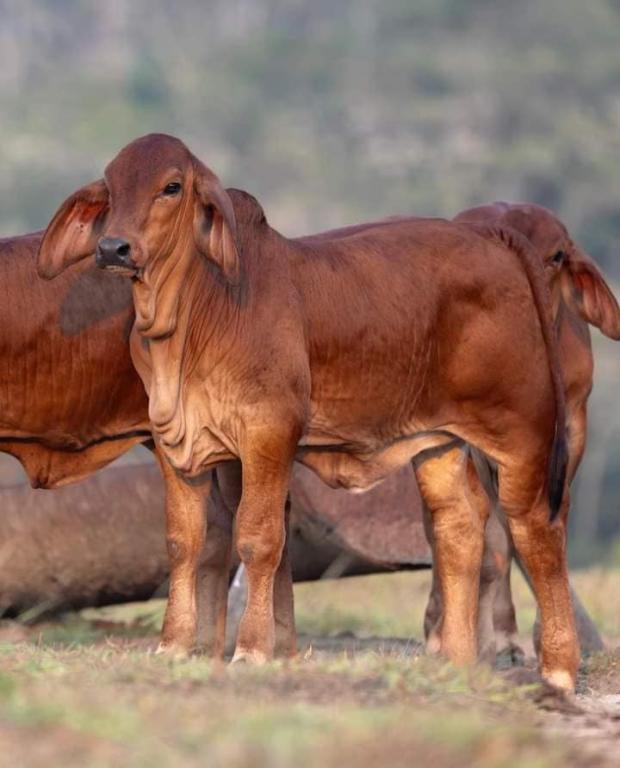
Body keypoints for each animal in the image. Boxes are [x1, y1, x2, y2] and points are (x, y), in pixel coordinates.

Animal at [37, 134, 580, 688]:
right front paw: (173, 645)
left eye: (171, 186)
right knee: (459, 527)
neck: (191, 317)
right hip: (439, 443)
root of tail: (492, 239)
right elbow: (182, 542)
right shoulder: (174, 444)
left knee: (538, 532)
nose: (112, 248)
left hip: (521, 437)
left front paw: (252, 649)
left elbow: (258, 538)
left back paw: (558, 669)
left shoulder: (268, 433)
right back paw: (455, 660)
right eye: (110, 187)